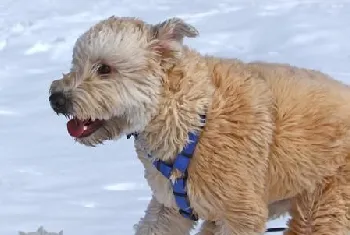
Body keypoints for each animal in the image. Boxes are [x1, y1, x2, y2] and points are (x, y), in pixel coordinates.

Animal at [47, 15, 350, 234]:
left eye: (105, 68)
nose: (55, 99)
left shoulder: (241, 214)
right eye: (76, 63)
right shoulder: (168, 208)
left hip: (326, 206)